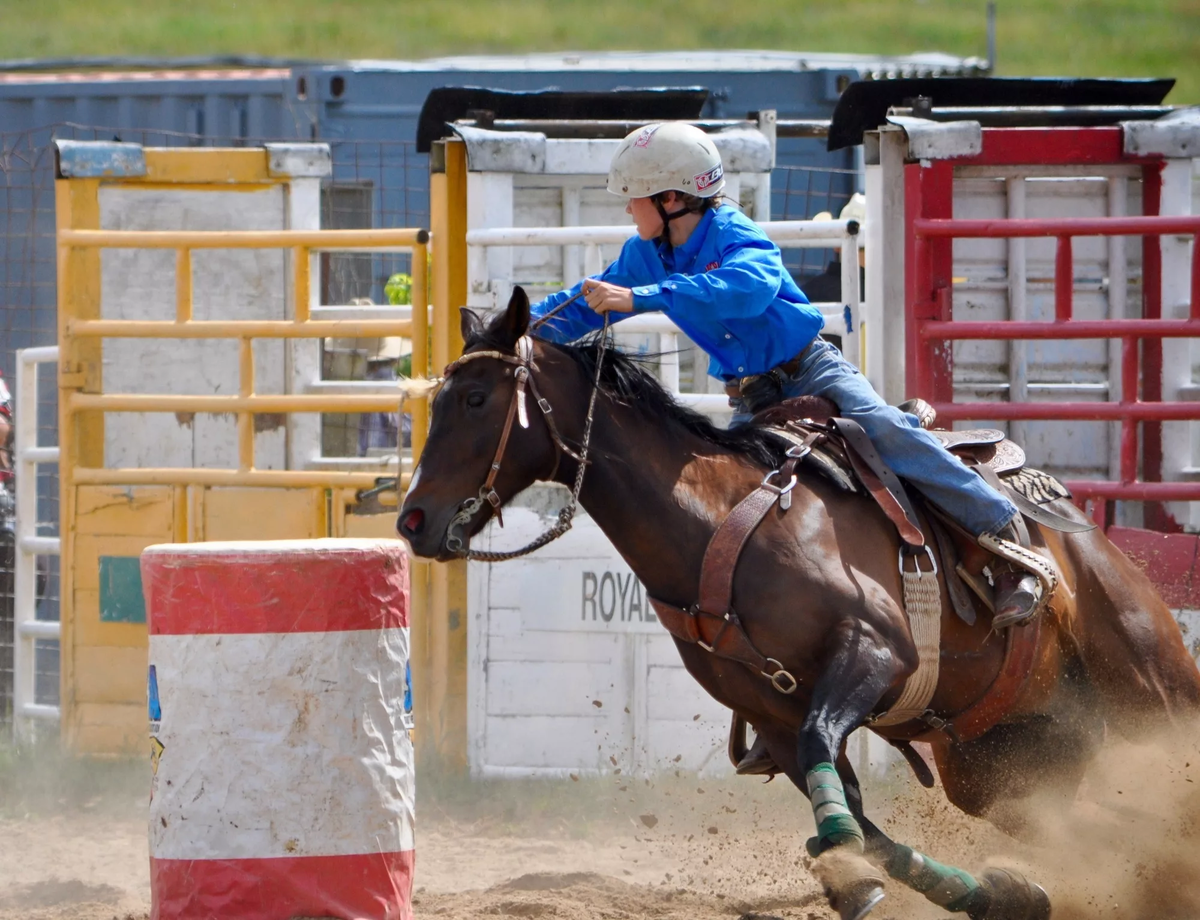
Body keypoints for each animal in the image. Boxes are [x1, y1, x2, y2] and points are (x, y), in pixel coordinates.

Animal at [398, 288, 1200, 920]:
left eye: (475, 398)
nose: (412, 521)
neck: (719, 527)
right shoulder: (775, 720)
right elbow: (856, 814)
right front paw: (985, 893)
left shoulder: (874, 655)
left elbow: (835, 770)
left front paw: (847, 865)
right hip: (1001, 760)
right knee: (1082, 816)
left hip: (1149, 690)